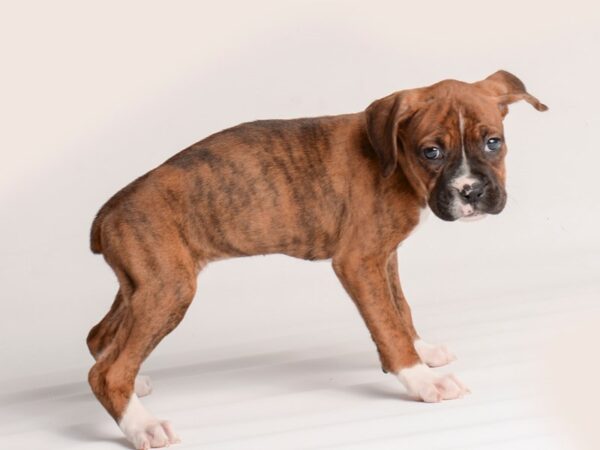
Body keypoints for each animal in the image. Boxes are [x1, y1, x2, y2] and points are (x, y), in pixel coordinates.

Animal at [86, 69, 548, 446]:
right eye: (430, 152)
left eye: (493, 143)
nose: (471, 192)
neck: (393, 161)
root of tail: (108, 211)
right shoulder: (359, 262)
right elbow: (389, 326)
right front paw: (421, 380)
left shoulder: (385, 257)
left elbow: (400, 309)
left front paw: (424, 351)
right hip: (169, 290)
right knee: (106, 372)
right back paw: (143, 426)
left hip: (141, 287)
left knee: (99, 339)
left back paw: (136, 386)